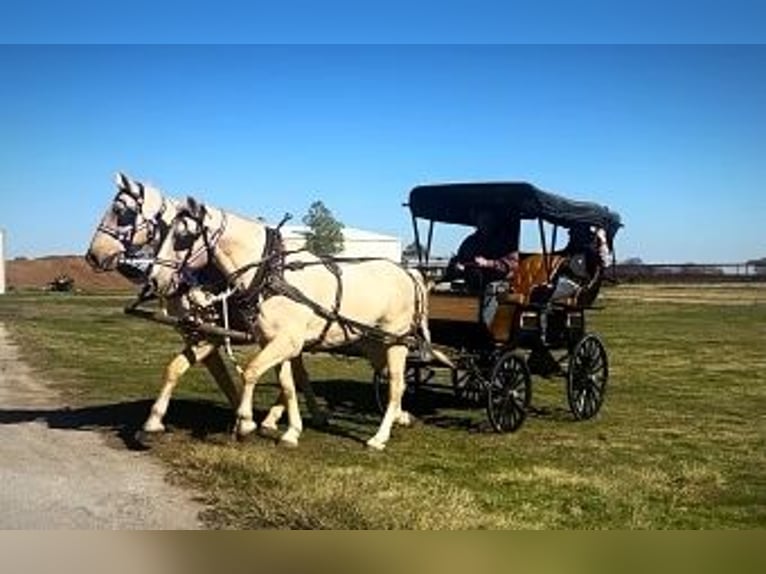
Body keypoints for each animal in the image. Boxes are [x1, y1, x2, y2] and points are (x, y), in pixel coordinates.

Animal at [85, 174, 322, 436]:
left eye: (120, 211)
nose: (93, 255)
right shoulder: (197, 337)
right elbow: (187, 372)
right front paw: (155, 420)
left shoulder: (210, 336)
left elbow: (219, 378)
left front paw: (244, 420)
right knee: (297, 372)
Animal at [148, 198, 432, 454]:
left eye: (183, 236)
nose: (154, 280)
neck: (270, 274)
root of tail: (409, 273)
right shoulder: (274, 342)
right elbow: (288, 385)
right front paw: (291, 432)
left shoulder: (286, 342)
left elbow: (251, 371)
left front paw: (246, 423)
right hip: (373, 342)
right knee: (387, 377)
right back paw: (400, 417)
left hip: (395, 341)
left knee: (396, 383)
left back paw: (379, 437)